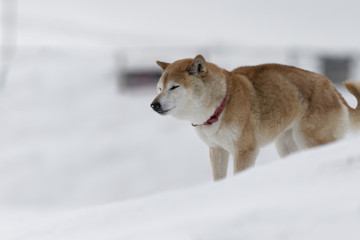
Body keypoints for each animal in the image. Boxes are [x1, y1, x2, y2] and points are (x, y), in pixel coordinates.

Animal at [150, 55, 360, 180]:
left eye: (174, 87)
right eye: (160, 88)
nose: (154, 105)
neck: (222, 103)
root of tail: (332, 88)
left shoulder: (245, 150)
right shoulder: (217, 149)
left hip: (308, 139)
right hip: (286, 144)